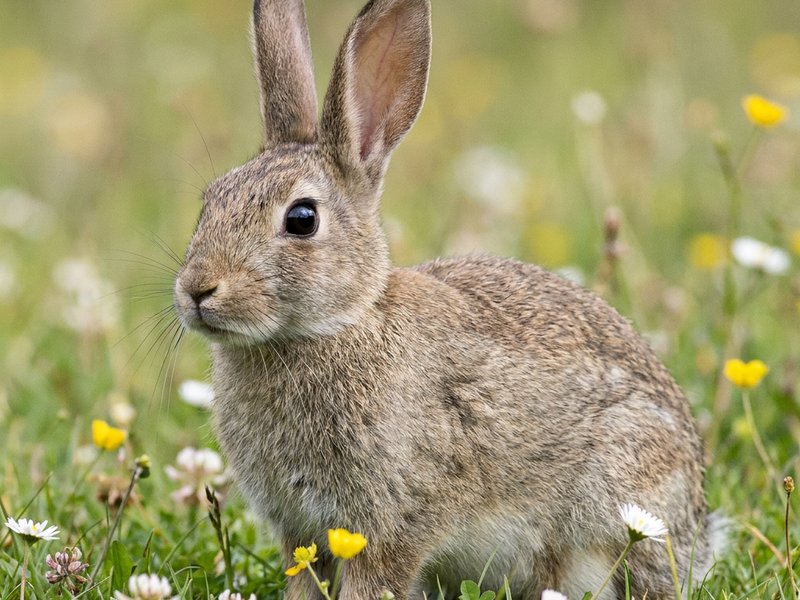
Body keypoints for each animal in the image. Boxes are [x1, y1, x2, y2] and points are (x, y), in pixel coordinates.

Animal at [173, 0, 722, 598]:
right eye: (208, 202)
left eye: (301, 219)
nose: (197, 289)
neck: (335, 325)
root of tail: (696, 532)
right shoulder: (303, 532)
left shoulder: (390, 521)